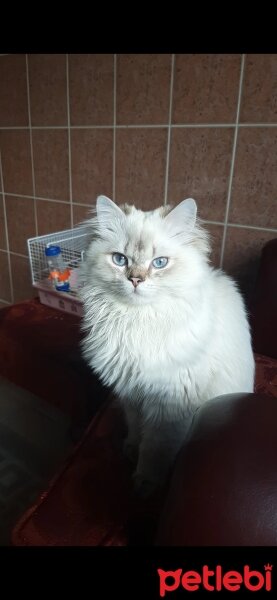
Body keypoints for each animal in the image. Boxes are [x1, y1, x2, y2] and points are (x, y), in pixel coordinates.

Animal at [79, 195, 252, 494]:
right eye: (120, 260)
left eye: (159, 263)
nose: (135, 279)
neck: (137, 320)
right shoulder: (131, 394)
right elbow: (136, 430)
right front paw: (130, 450)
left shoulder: (168, 405)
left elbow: (155, 449)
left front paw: (145, 484)